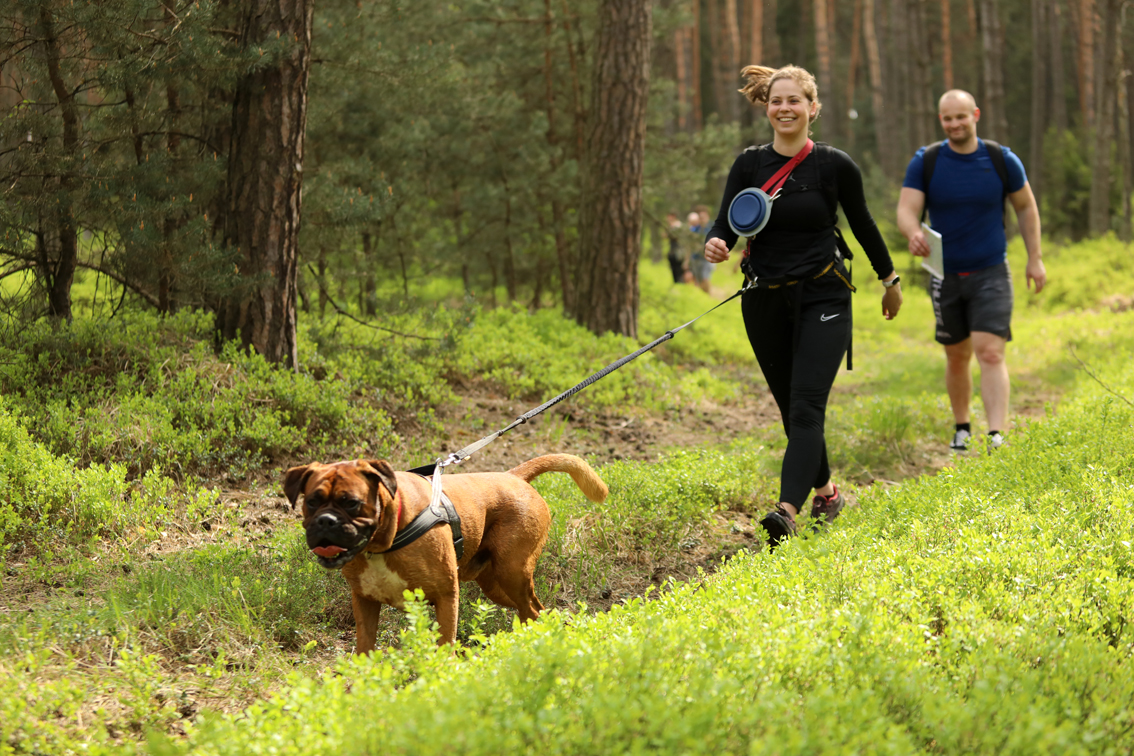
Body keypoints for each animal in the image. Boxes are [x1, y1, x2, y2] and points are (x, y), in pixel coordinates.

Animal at [283, 454, 608, 652]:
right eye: (312, 501)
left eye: (351, 502)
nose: (326, 521)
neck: (382, 542)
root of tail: (513, 476)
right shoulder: (364, 602)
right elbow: (366, 649)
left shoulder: (446, 596)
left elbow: (444, 646)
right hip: (496, 585)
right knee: (538, 612)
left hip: (512, 573)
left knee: (534, 611)